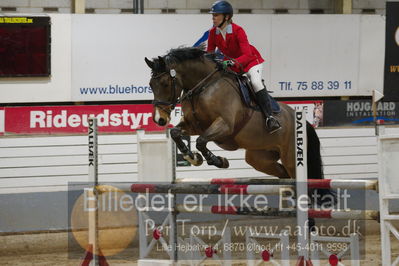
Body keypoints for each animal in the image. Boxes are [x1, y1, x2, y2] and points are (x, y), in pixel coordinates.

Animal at [145, 47, 332, 201]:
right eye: (150, 85)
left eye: (165, 84)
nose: (159, 119)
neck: (203, 87)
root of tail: (302, 121)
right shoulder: (195, 125)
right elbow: (176, 133)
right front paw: (192, 157)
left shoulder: (225, 125)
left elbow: (201, 141)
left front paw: (217, 160)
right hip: (259, 158)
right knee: (284, 175)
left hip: (291, 157)